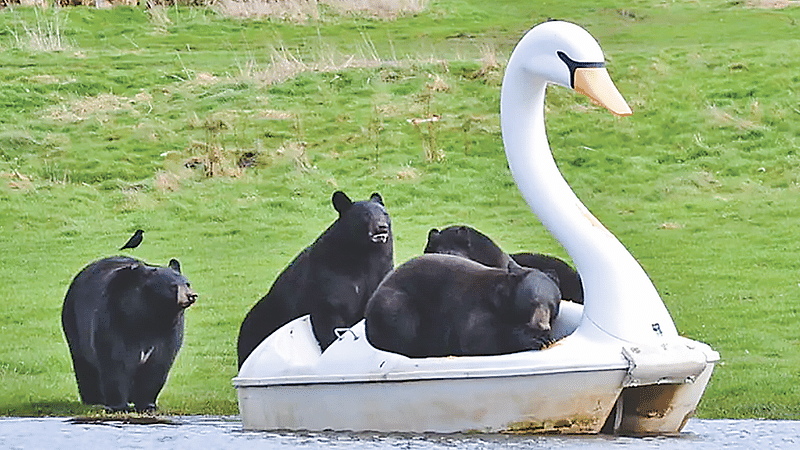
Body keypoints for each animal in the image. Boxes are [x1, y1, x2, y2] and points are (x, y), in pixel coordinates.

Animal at [60, 256, 196, 412]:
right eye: (173, 286)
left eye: (187, 283)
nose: (191, 295)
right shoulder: (114, 319)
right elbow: (116, 362)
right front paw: (118, 406)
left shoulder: (168, 331)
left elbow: (158, 364)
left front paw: (148, 405)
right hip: (73, 323)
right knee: (83, 364)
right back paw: (93, 399)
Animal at [239, 192, 396, 368]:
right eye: (365, 215)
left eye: (385, 213)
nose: (382, 227)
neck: (363, 255)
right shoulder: (327, 281)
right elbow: (329, 317)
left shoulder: (379, 272)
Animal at [366, 255, 560, 356]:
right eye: (533, 302)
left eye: (552, 306)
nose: (542, 326)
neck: (502, 300)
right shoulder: (477, 305)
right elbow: (479, 338)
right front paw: (534, 339)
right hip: (394, 304)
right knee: (404, 327)